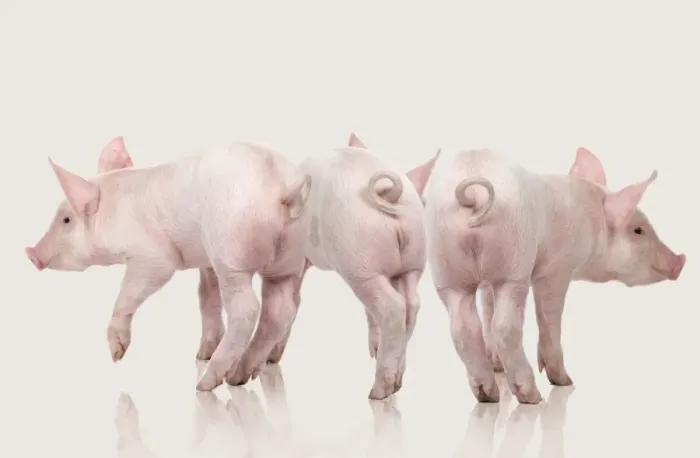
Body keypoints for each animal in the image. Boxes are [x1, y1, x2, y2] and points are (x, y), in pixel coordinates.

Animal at [25, 136, 312, 392]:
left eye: (66, 220)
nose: (31, 253)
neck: (113, 211)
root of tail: (283, 191)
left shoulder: (154, 256)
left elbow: (131, 291)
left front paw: (117, 356)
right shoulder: (205, 262)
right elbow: (206, 297)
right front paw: (201, 352)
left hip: (232, 254)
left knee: (248, 310)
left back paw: (207, 384)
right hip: (288, 262)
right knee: (281, 311)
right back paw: (239, 374)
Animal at [258, 133, 439, 400]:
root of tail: (390, 193)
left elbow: (293, 299)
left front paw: (271, 358)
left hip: (358, 260)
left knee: (392, 307)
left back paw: (378, 392)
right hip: (413, 260)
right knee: (410, 305)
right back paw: (396, 383)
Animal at [424, 146, 686, 404]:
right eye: (638, 230)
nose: (680, 261)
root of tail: (474, 194)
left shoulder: (488, 279)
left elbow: (487, 307)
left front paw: (497, 366)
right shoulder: (557, 269)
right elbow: (548, 316)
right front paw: (564, 382)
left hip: (446, 268)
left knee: (463, 328)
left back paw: (488, 395)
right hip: (514, 264)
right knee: (505, 327)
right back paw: (533, 396)